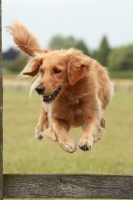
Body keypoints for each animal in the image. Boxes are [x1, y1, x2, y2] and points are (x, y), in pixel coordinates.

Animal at [6, 20, 114, 153]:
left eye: (57, 71)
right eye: (42, 71)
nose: (39, 89)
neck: (71, 96)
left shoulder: (93, 112)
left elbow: (91, 125)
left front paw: (85, 141)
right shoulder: (56, 115)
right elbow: (57, 127)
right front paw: (67, 143)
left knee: (102, 119)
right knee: (43, 110)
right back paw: (39, 129)